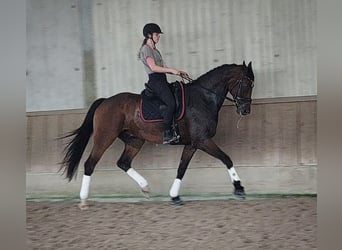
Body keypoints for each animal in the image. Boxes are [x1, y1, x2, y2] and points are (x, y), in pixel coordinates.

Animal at [60, 61, 255, 208]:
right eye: (246, 84)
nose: (245, 110)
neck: (203, 98)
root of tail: (104, 101)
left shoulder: (192, 143)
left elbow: (181, 169)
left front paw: (174, 196)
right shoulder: (203, 140)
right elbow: (226, 158)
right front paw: (239, 188)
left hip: (135, 140)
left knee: (123, 163)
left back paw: (145, 187)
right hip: (105, 137)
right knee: (90, 164)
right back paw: (84, 199)